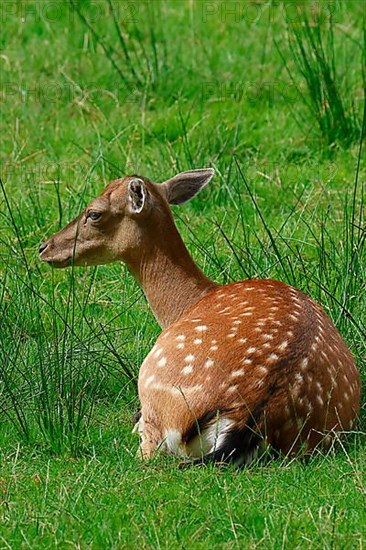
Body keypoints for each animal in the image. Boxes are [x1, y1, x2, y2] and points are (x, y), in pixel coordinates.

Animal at [39, 170, 360, 468]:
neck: (188, 303)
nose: (44, 247)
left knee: (148, 451)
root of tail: (249, 415)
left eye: (94, 212)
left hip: (153, 381)